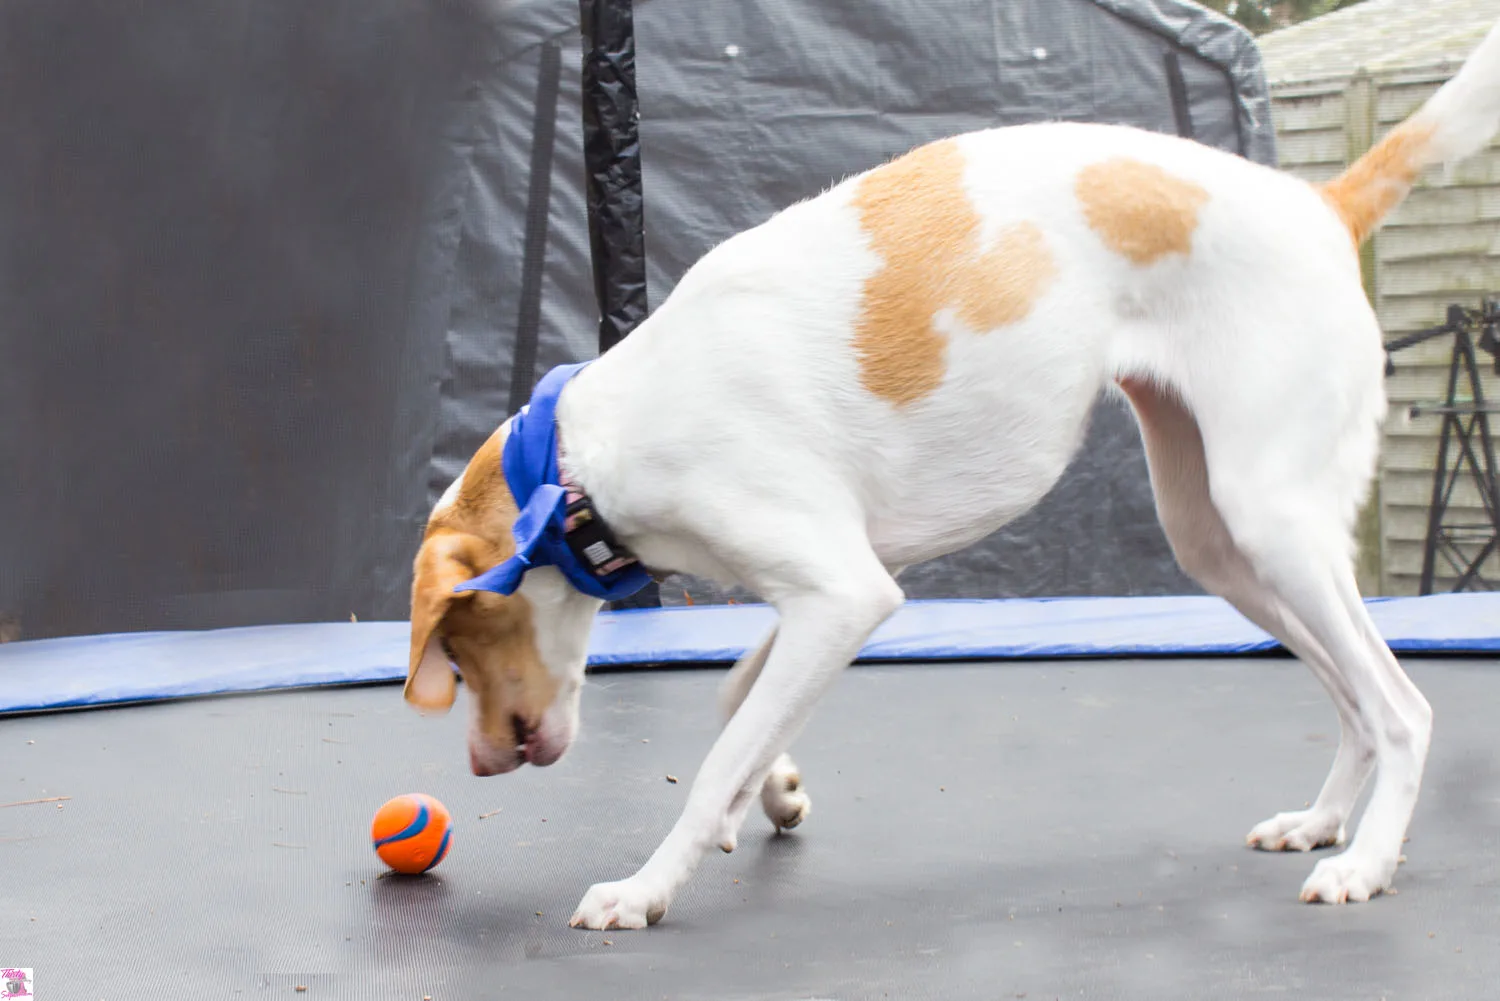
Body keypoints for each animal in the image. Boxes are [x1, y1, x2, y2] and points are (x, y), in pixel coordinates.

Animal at [405, 21, 1500, 930]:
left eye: (455, 645)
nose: (479, 763)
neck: (589, 454)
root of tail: (1323, 204)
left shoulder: (845, 594)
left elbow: (718, 750)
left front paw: (648, 884)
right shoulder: (827, 593)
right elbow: (739, 705)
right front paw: (771, 789)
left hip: (1272, 522)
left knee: (1401, 708)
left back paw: (1367, 861)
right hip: (1221, 547)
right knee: (1355, 702)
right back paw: (1325, 822)